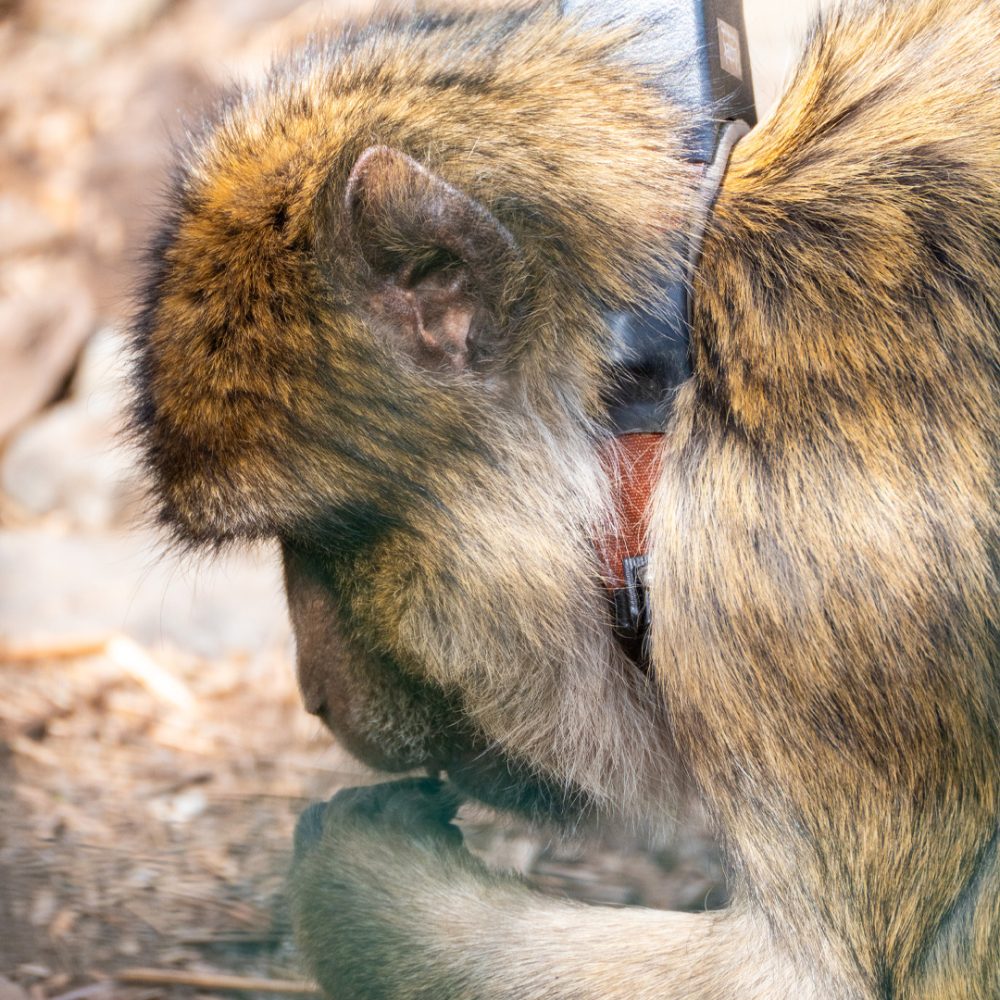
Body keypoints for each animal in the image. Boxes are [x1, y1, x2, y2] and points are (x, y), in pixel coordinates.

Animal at [130, 0, 999, 997]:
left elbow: (801, 976)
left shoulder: (807, 582)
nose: (313, 697)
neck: (662, 395)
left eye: (316, 542)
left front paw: (351, 873)